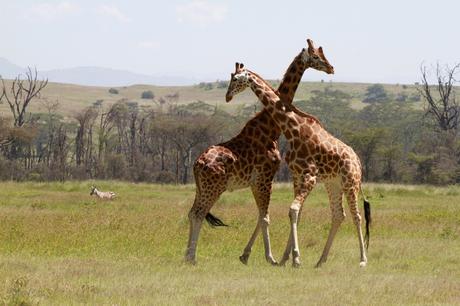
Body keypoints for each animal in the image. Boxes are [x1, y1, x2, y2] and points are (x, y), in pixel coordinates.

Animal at [184, 38, 334, 266]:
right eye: (316, 56)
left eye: (234, 78)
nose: (331, 68)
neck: (271, 128)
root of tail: (197, 164)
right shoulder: (265, 177)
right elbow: (265, 217)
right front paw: (271, 258)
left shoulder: (258, 181)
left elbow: (261, 216)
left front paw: (246, 255)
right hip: (214, 187)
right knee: (199, 214)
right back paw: (192, 258)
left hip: (201, 188)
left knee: (192, 212)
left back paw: (187, 255)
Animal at [226, 43, 374, 268]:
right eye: (317, 55)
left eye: (235, 79)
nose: (227, 96)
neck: (292, 128)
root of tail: (357, 160)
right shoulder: (297, 176)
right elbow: (295, 212)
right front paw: (286, 258)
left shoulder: (309, 177)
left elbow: (293, 210)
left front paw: (294, 257)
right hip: (333, 184)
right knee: (338, 215)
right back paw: (321, 260)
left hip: (351, 182)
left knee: (356, 216)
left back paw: (362, 260)